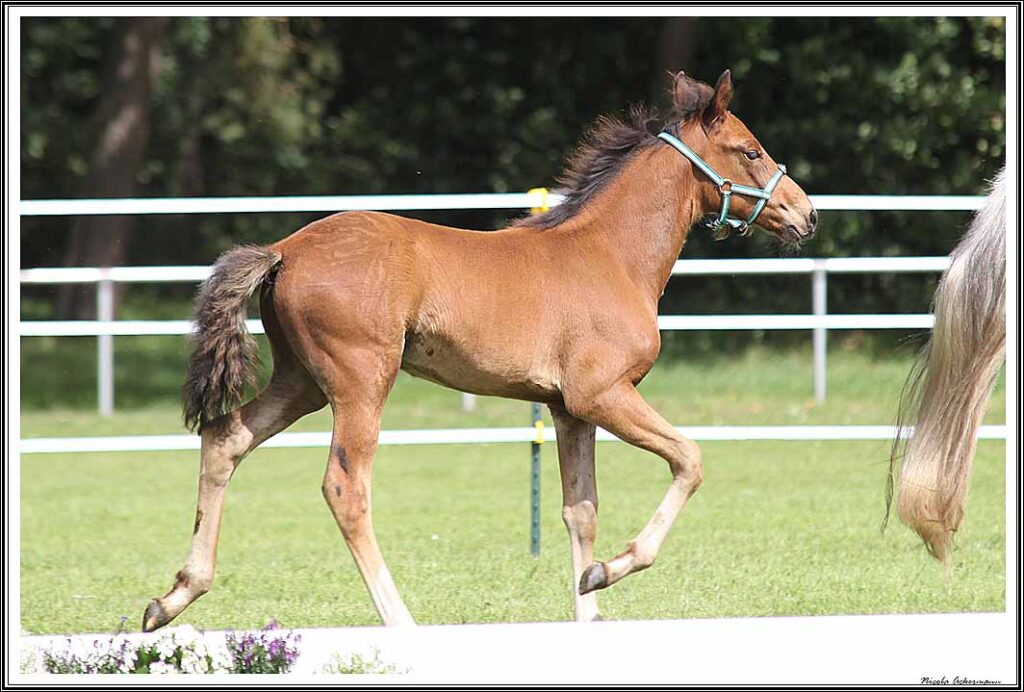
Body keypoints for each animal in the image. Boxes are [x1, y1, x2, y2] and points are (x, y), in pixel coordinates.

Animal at [144, 71, 815, 630]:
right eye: (750, 150)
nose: (806, 214)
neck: (610, 255)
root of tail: (284, 249)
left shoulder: (568, 410)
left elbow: (581, 508)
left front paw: (589, 606)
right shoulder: (602, 394)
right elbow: (690, 459)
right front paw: (610, 569)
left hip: (300, 381)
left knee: (225, 437)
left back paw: (171, 598)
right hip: (361, 381)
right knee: (345, 488)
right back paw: (400, 620)